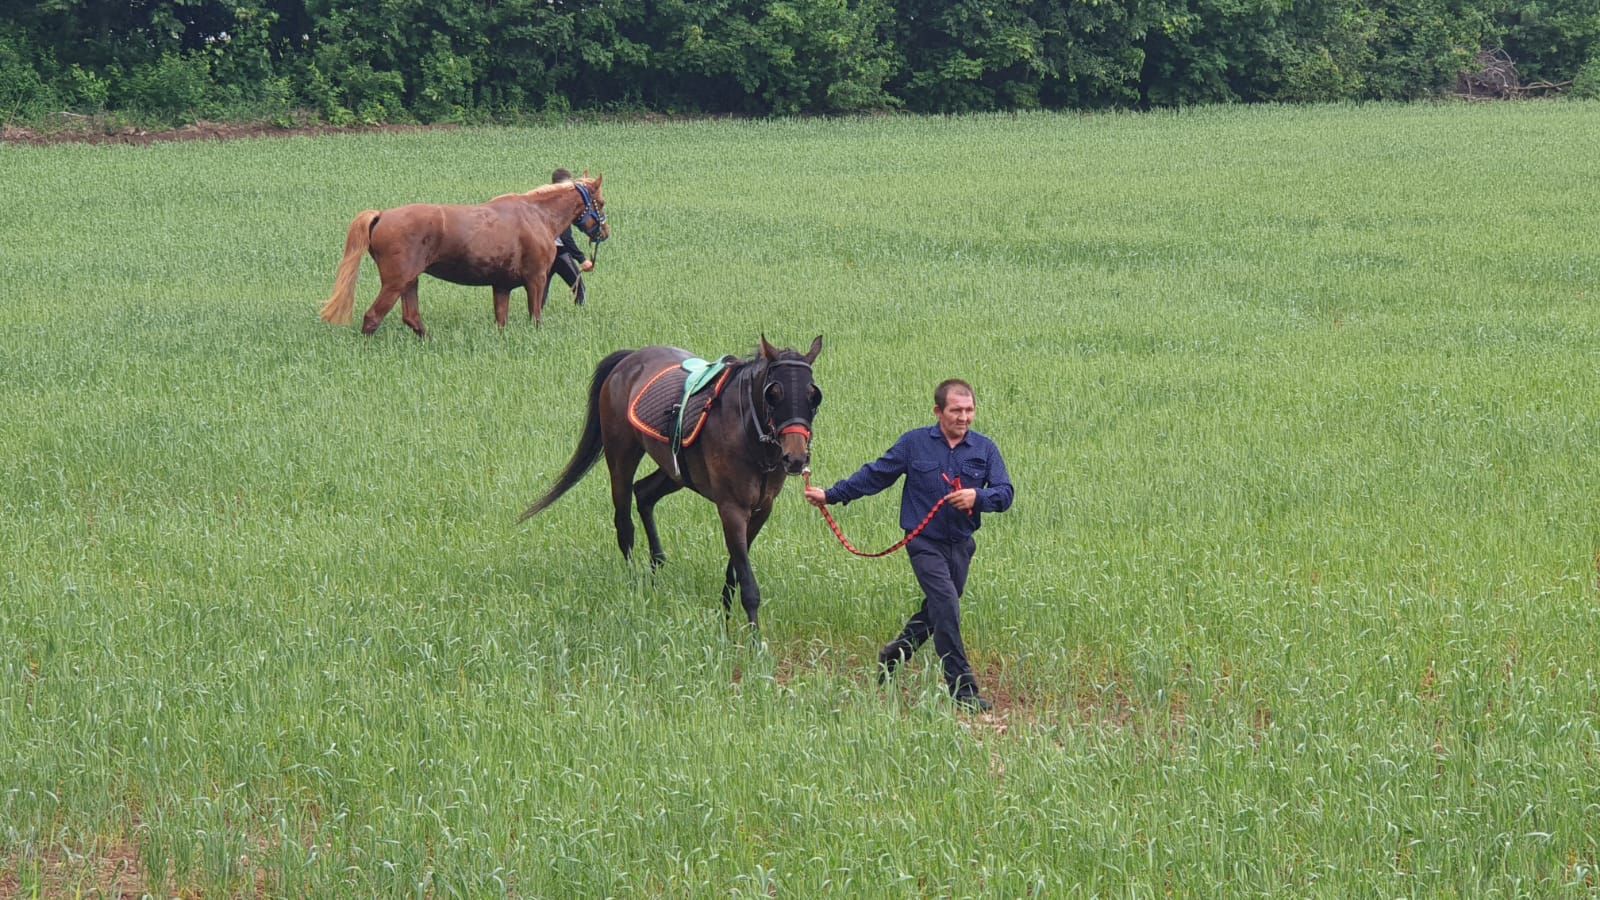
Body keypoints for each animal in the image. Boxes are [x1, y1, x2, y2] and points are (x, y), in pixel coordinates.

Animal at [321, 173, 608, 334]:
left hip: (409, 282)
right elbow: (535, 316)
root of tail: (382, 215)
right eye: (602, 203)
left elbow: (501, 321)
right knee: (372, 317)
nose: (604, 233)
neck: (537, 215)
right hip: (395, 283)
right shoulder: (536, 279)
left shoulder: (501, 286)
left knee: (411, 317)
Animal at [521, 334, 825, 630]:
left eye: (813, 395)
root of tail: (629, 360)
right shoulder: (732, 509)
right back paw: (634, 586)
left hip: (675, 471)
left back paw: (656, 567)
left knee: (644, 493)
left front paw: (725, 619)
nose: (796, 457)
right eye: (774, 393)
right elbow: (748, 583)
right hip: (621, 457)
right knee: (624, 523)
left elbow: (735, 571)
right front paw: (751, 640)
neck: (747, 432)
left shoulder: (761, 509)